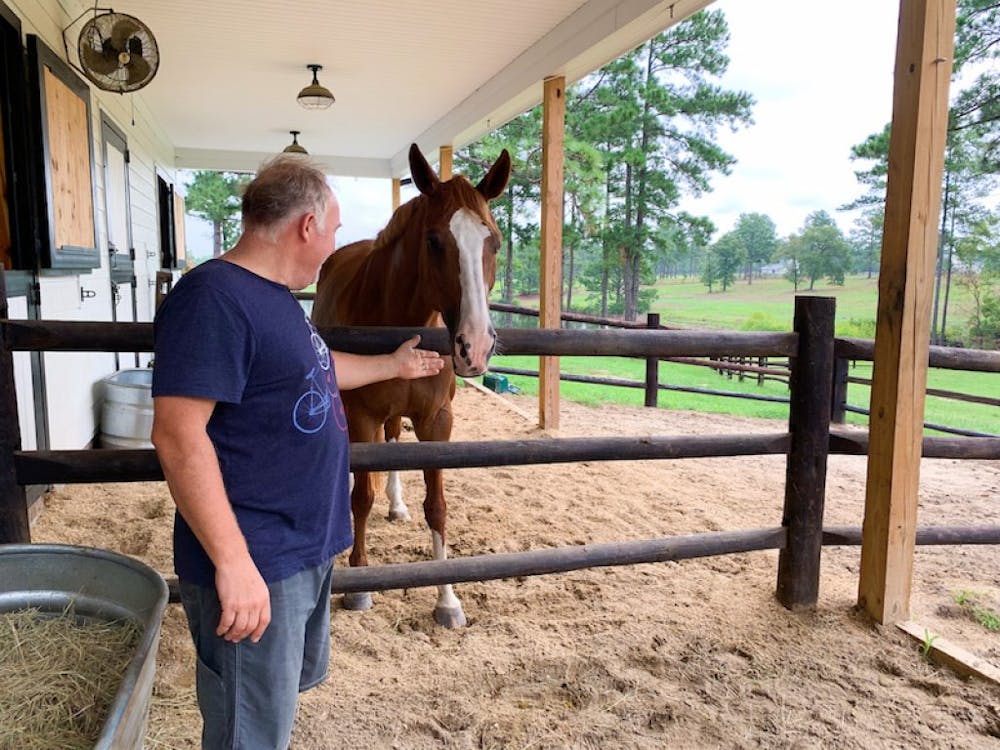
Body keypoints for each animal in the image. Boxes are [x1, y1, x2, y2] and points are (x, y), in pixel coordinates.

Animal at [312, 143, 511, 627]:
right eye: (434, 241)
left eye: (494, 241)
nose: (475, 346)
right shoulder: (361, 418)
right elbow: (360, 498)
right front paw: (360, 585)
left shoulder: (437, 421)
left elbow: (436, 506)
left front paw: (447, 599)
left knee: (394, 441)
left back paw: (397, 504)